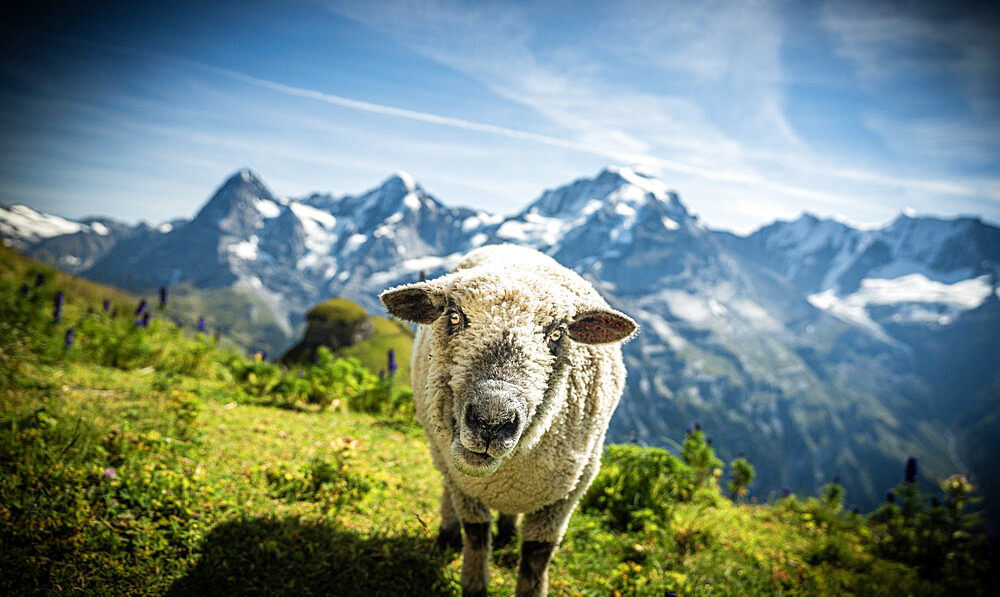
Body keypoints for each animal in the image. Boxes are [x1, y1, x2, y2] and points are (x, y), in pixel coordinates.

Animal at [378, 243, 636, 596]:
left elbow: (535, 561)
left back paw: (507, 532)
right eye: (455, 316)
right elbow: (476, 537)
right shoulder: (465, 486)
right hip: (441, 454)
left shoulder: (565, 497)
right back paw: (448, 536)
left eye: (557, 332)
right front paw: (474, 582)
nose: (491, 421)